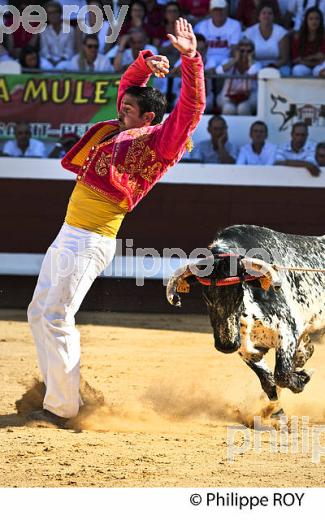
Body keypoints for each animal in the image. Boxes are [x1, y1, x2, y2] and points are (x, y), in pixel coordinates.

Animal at [167, 225, 324, 408]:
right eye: (206, 298)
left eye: (238, 295)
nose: (226, 346)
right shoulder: (246, 349)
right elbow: (268, 381)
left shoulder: (286, 330)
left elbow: (281, 374)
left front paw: (303, 378)